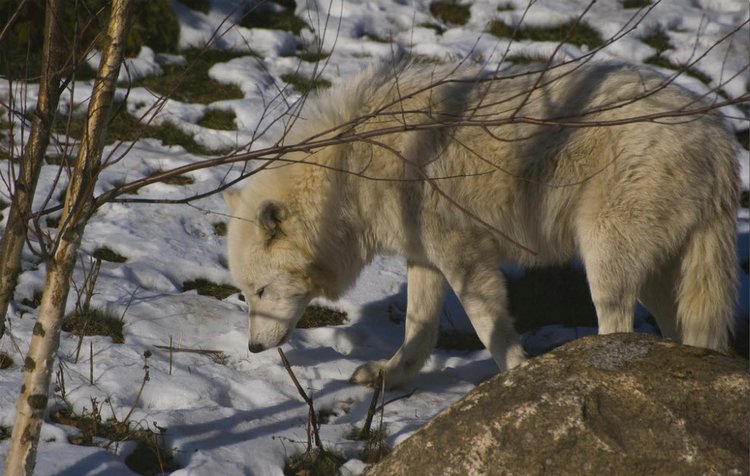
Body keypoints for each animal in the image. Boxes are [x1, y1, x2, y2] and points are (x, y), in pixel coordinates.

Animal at [225, 58, 740, 386]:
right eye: (247, 294)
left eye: (262, 291)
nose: (252, 350)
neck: (351, 170)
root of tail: (718, 135)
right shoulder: (424, 259)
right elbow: (417, 329)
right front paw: (390, 377)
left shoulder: (465, 259)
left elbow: (487, 326)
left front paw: (518, 379)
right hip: (665, 277)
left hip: (607, 260)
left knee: (616, 325)